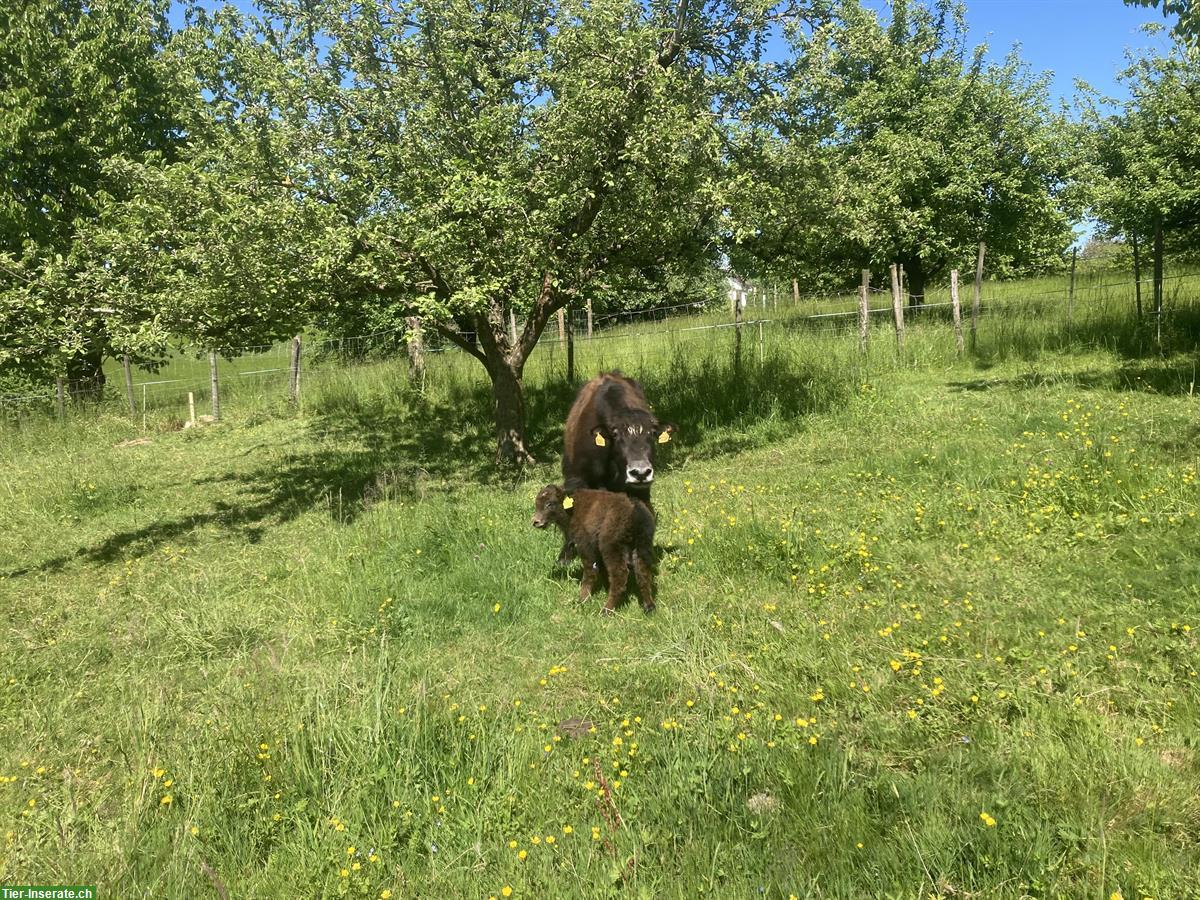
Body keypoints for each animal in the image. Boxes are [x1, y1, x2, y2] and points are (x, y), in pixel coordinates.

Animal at [532, 485, 656, 614]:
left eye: (549, 504)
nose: (535, 522)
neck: (573, 507)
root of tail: (633, 508)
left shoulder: (585, 546)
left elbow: (590, 571)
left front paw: (582, 599)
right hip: (643, 546)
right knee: (643, 573)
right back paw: (649, 607)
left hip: (611, 549)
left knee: (620, 575)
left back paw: (606, 610)